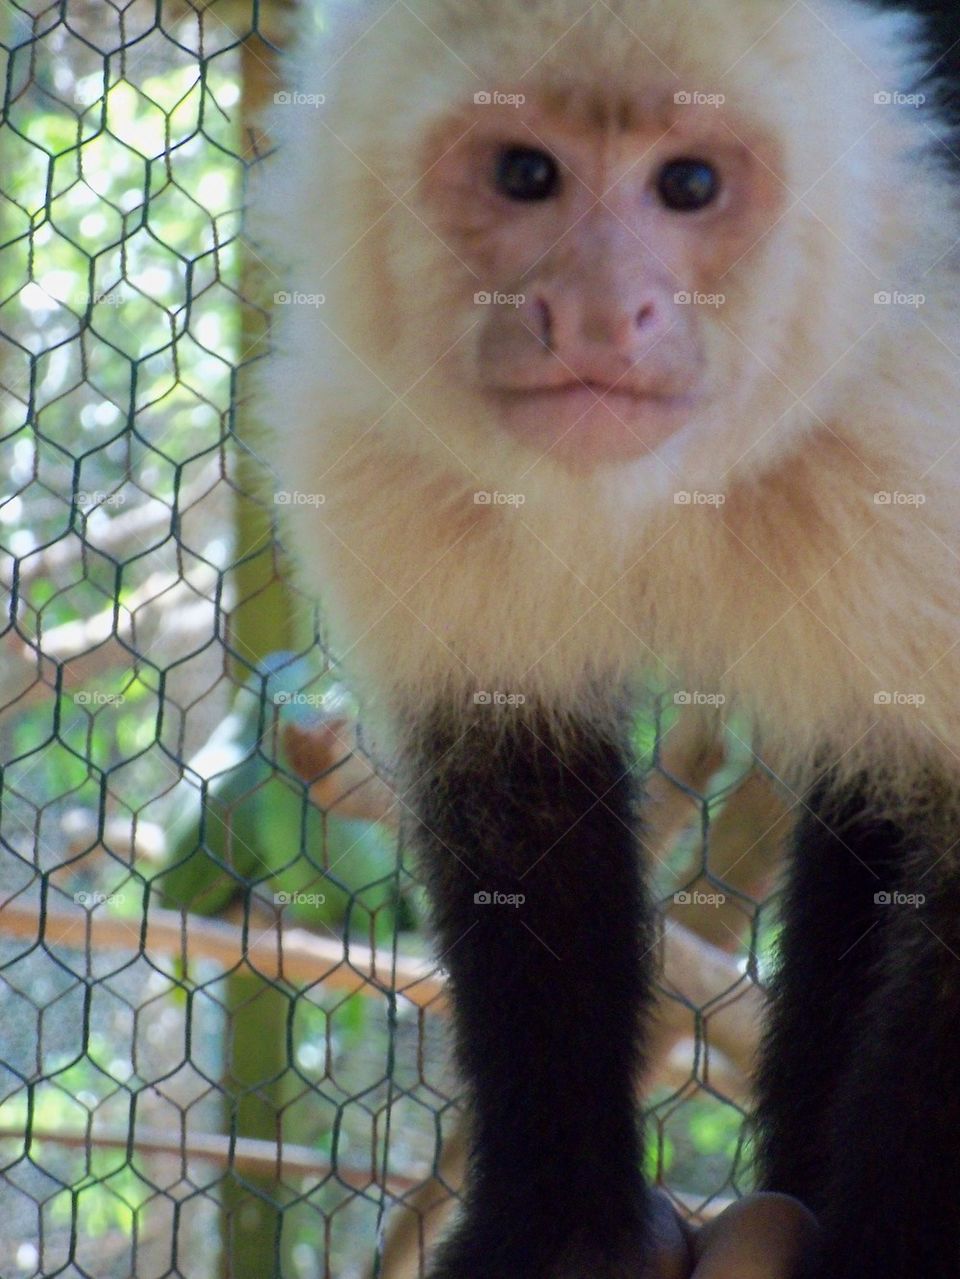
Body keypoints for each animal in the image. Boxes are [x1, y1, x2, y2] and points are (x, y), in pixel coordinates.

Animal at [256, 0, 960, 1275]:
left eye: (689, 185)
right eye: (525, 174)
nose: (594, 312)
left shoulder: (922, 414)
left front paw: (888, 1254)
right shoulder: (370, 443)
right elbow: (520, 808)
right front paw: (562, 1232)